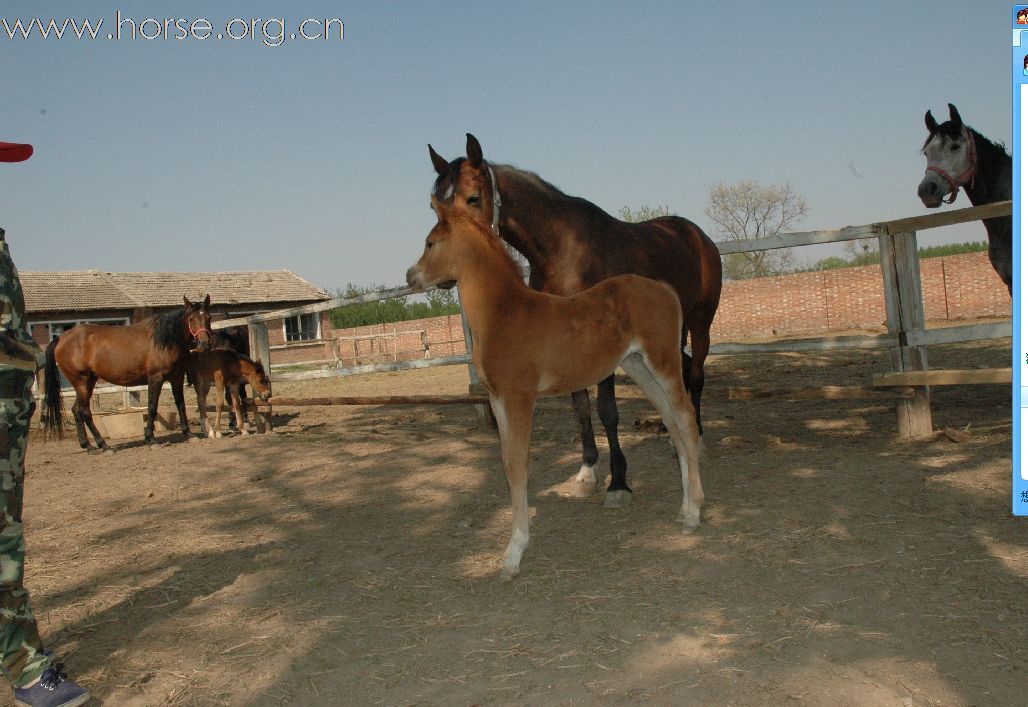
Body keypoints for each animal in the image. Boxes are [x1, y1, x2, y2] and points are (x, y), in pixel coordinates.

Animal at [43, 295, 213, 450]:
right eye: (191, 319)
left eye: (208, 317)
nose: (205, 343)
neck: (164, 341)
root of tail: (61, 338)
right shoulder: (155, 378)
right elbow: (152, 407)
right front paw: (151, 439)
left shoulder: (176, 377)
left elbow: (181, 405)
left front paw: (189, 434)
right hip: (81, 382)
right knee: (85, 412)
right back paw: (103, 445)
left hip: (88, 382)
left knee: (77, 411)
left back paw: (88, 446)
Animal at [405, 204, 703, 579]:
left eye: (430, 243)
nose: (409, 276)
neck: (503, 314)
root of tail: (665, 289)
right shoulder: (497, 400)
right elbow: (507, 463)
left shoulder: (519, 397)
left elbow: (518, 465)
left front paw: (514, 553)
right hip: (638, 366)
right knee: (673, 423)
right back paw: (683, 507)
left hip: (663, 362)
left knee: (686, 420)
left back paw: (694, 512)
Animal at [429, 133, 719, 507]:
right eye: (435, 203)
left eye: (473, 197)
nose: (448, 267)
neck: (562, 249)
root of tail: (697, 235)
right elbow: (580, 408)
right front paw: (587, 474)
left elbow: (607, 409)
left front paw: (618, 483)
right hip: (668, 332)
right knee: (678, 374)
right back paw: (675, 439)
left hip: (700, 323)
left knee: (695, 376)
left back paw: (699, 441)